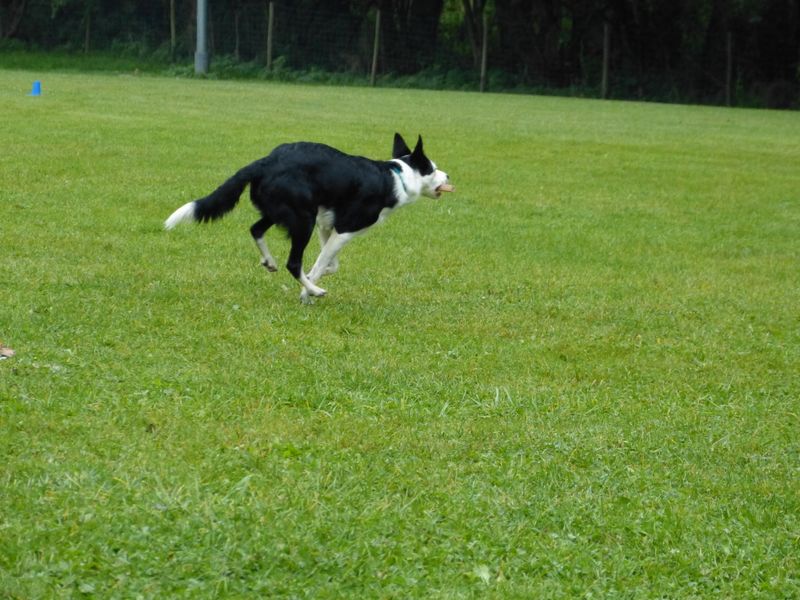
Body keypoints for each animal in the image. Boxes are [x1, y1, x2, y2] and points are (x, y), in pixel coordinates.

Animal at [164, 133, 453, 302]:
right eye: (433, 168)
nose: (448, 176)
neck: (398, 176)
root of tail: (266, 161)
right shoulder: (345, 228)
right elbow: (321, 262)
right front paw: (308, 291)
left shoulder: (326, 225)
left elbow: (329, 263)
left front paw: (314, 280)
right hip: (303, 219)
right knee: (293, 263)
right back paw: (314, 290)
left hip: (281, 210)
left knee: (255, 229)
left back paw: (269, 261)